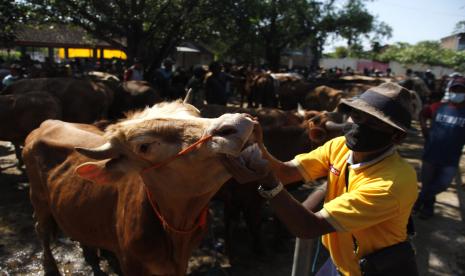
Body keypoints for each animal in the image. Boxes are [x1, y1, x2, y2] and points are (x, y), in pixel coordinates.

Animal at [23, 100, 256, 274]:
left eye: (197, 114)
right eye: (144, 146)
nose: (235, 123)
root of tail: (46, 123)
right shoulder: (131, 263)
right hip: (38, 199)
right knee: (41, 229)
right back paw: (50, 266)